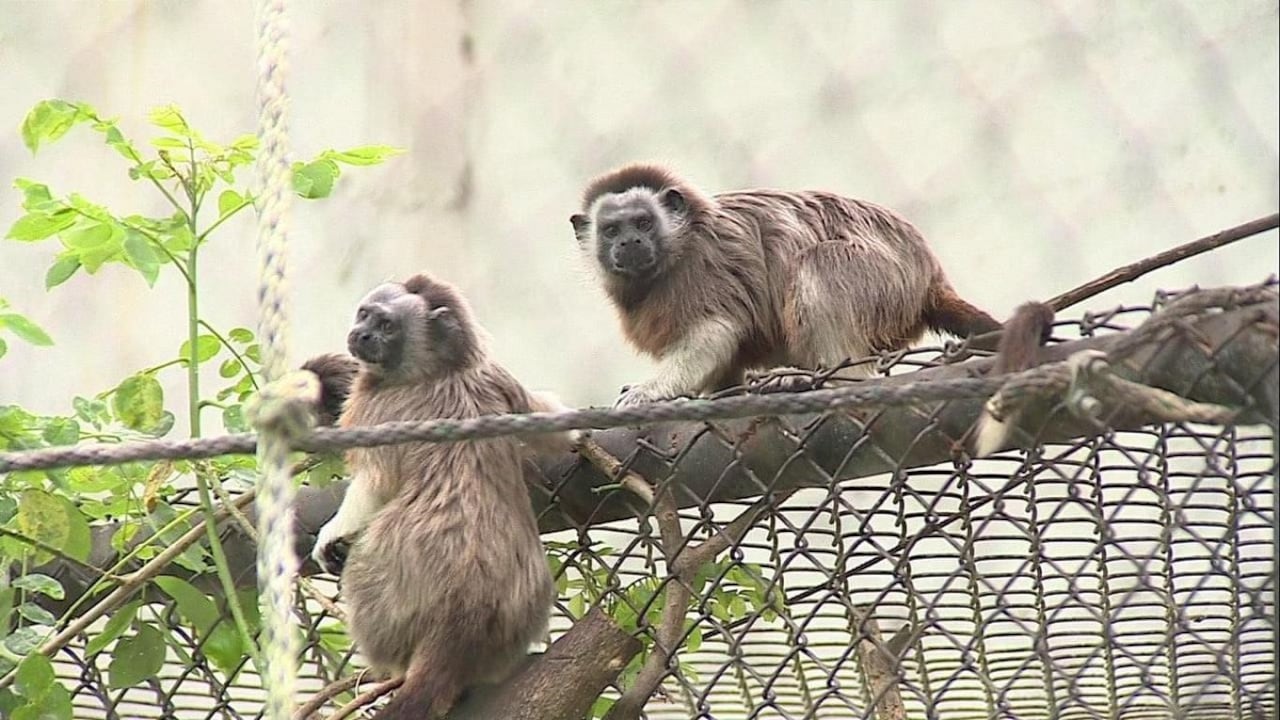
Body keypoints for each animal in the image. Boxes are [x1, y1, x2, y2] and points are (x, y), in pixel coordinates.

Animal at [310, 273, 578, 720]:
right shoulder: (497, 376)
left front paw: (332, 535)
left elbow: (374, 485)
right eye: (365, 315)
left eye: (385, 326)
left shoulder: (377, 407)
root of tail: (461, 619)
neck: (439, 368)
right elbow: (553, 428)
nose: (361, 335)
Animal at [569, 164, 1003, 406]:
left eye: (643, 223)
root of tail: (928, 274)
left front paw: (653, 392)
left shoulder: (702, 267)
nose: (630, 243)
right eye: (612, 231)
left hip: (889, 281)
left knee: (820, 262)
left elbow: (715, 333)